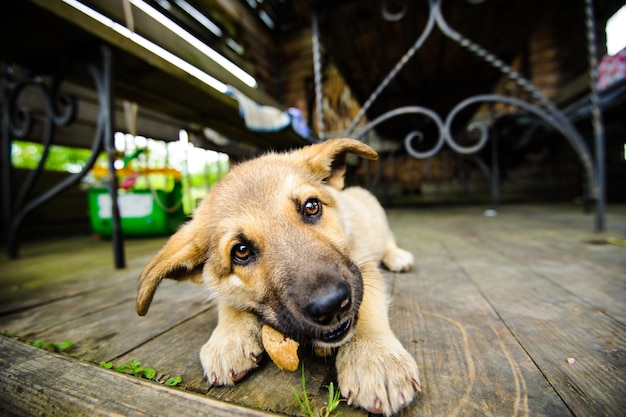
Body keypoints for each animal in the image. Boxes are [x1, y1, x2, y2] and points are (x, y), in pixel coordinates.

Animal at [136, 138, 420, 414]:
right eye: (241, 251)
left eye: (312, 206)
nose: (332, 305)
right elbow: (227, 301)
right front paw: (228, 338)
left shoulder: (363, 266)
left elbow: (368, 309)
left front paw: (375, 357)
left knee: (388, 242)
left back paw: (398, 257)